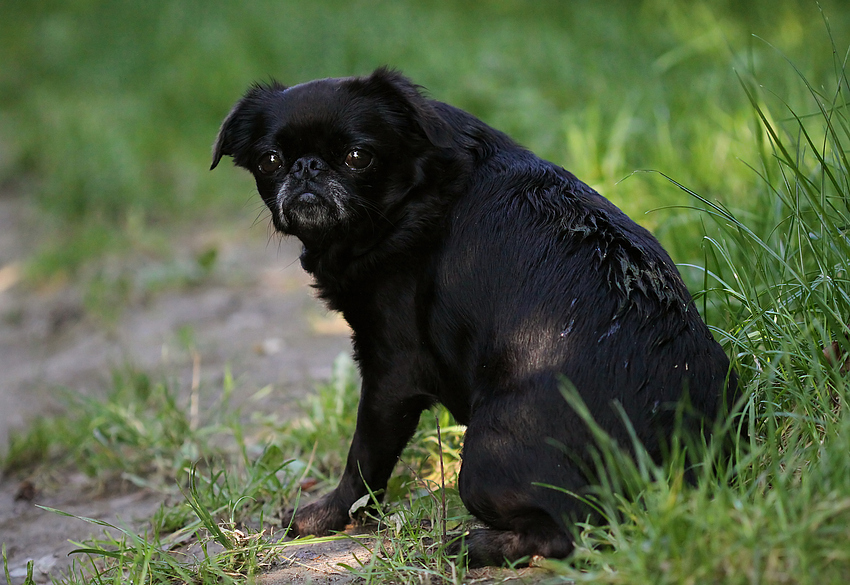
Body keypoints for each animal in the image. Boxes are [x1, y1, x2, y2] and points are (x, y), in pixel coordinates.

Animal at [210, 68, 728, 564]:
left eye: (359, 156)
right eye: (270, 162)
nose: (307, 167)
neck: (415, 195)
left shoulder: (393, 371)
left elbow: (364, 459)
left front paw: (331, 515)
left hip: (482, 457)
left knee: (567, 533)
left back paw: (470, 546)